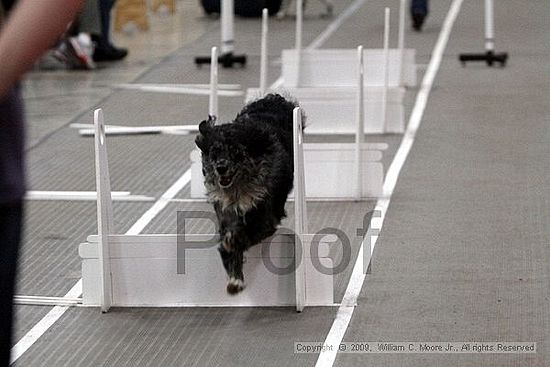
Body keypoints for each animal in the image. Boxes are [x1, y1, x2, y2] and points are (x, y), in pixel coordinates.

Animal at [197, 93, 302, 294]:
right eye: (215, 151)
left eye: (236, 151)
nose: (221, 168)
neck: (239, 190)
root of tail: (273, 98)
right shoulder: (225, 213)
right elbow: (228, 241)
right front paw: (235, 278)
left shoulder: (266, 216)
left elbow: (249, 232)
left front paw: (235, 242)